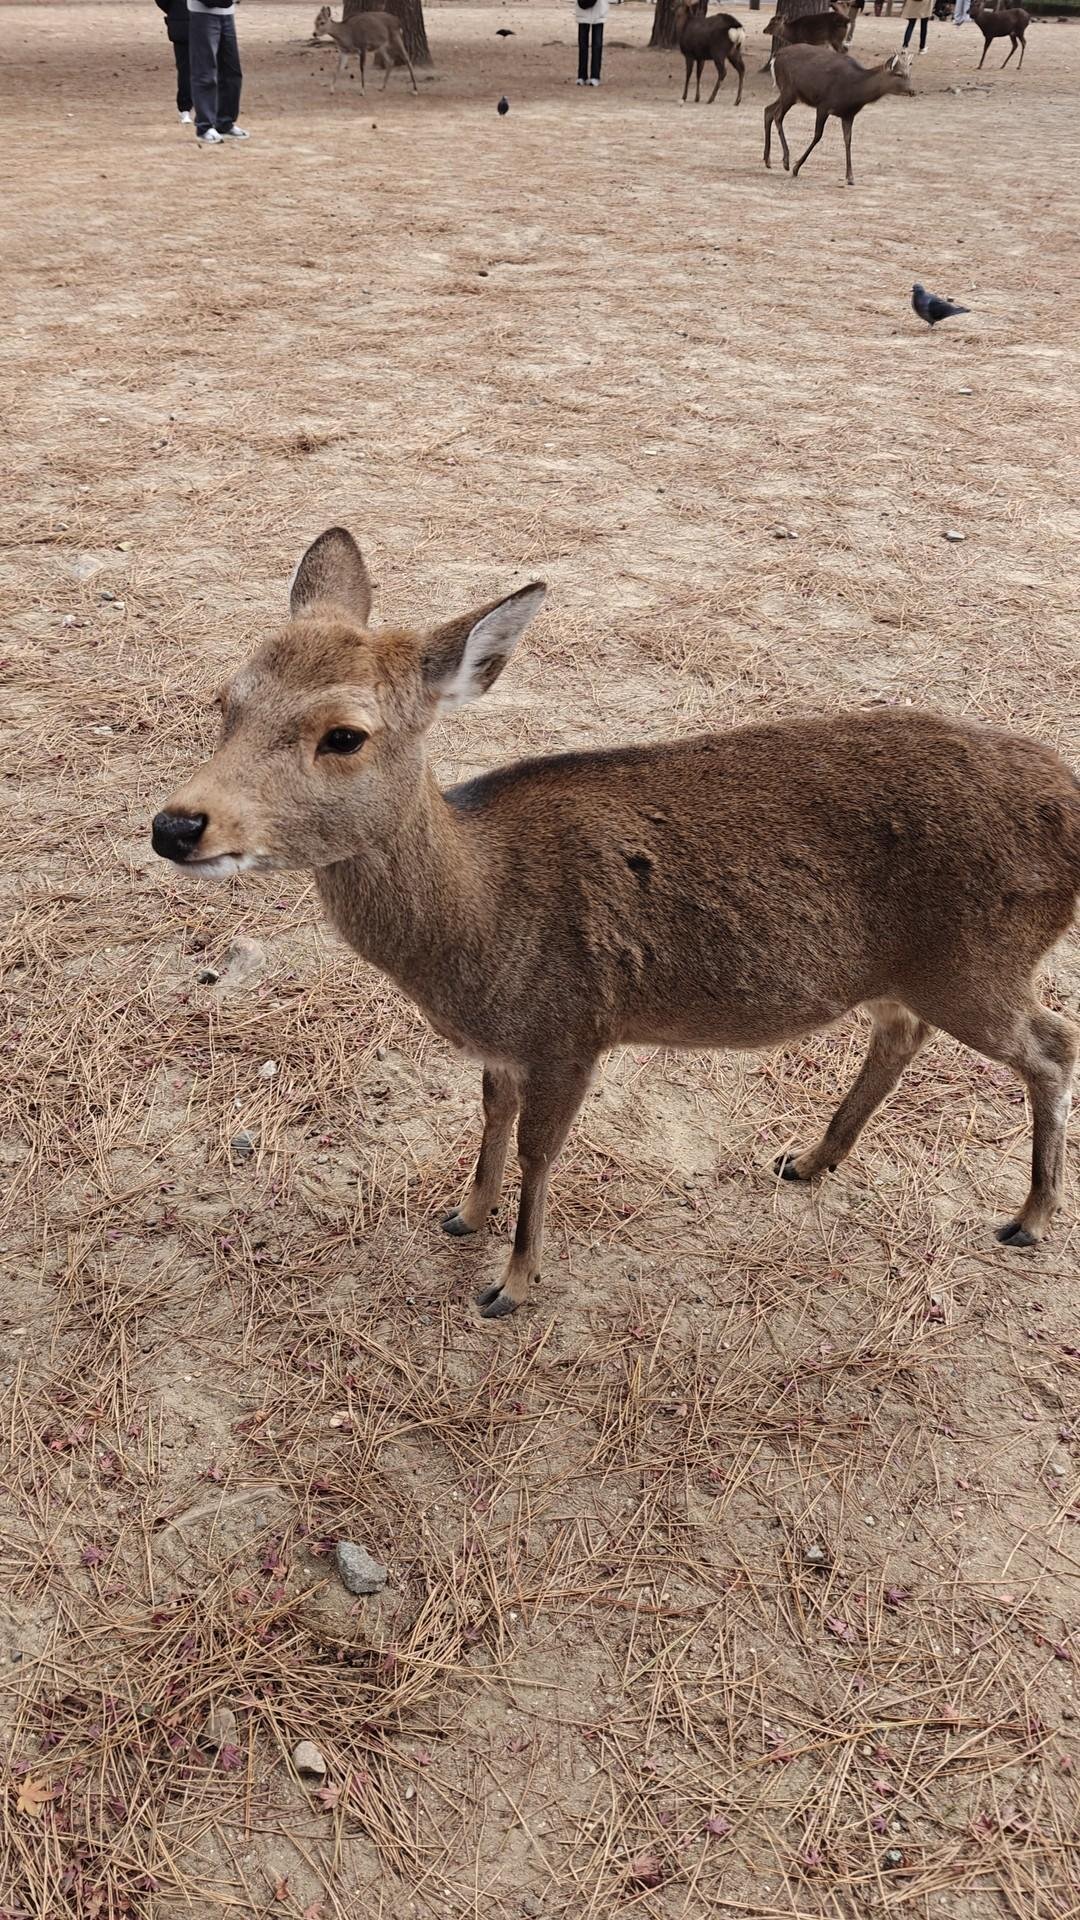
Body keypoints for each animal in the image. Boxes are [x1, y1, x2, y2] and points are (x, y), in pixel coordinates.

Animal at [151, 529, 1080, 1319]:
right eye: (227, 700)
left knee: (1052, 1041)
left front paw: (512, 1285)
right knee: (903, 1032)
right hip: (904, 970)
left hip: (978, 960)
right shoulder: (508, 1043)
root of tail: (1070, 803)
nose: (175, 825)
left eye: (344, 735)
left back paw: (1027, 1218)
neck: (479, 928)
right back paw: (810, 1160)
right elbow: (490, 1118)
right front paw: (464, 1215)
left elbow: (539, 1150)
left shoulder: (571, 1027)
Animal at [764, 45, 913, 187]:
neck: (854, 93)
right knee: (777, 115)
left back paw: (767, 160)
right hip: (789, 90)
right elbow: (817, 135)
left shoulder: (848, 115)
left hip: (789, 94)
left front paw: (850, 177)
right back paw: (786, 161)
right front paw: (796, 168)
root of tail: (775, 56)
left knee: (768, 110)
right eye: (899, 74)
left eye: (909, 74)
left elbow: (848, 140)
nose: (912, 91)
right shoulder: (823, 105)